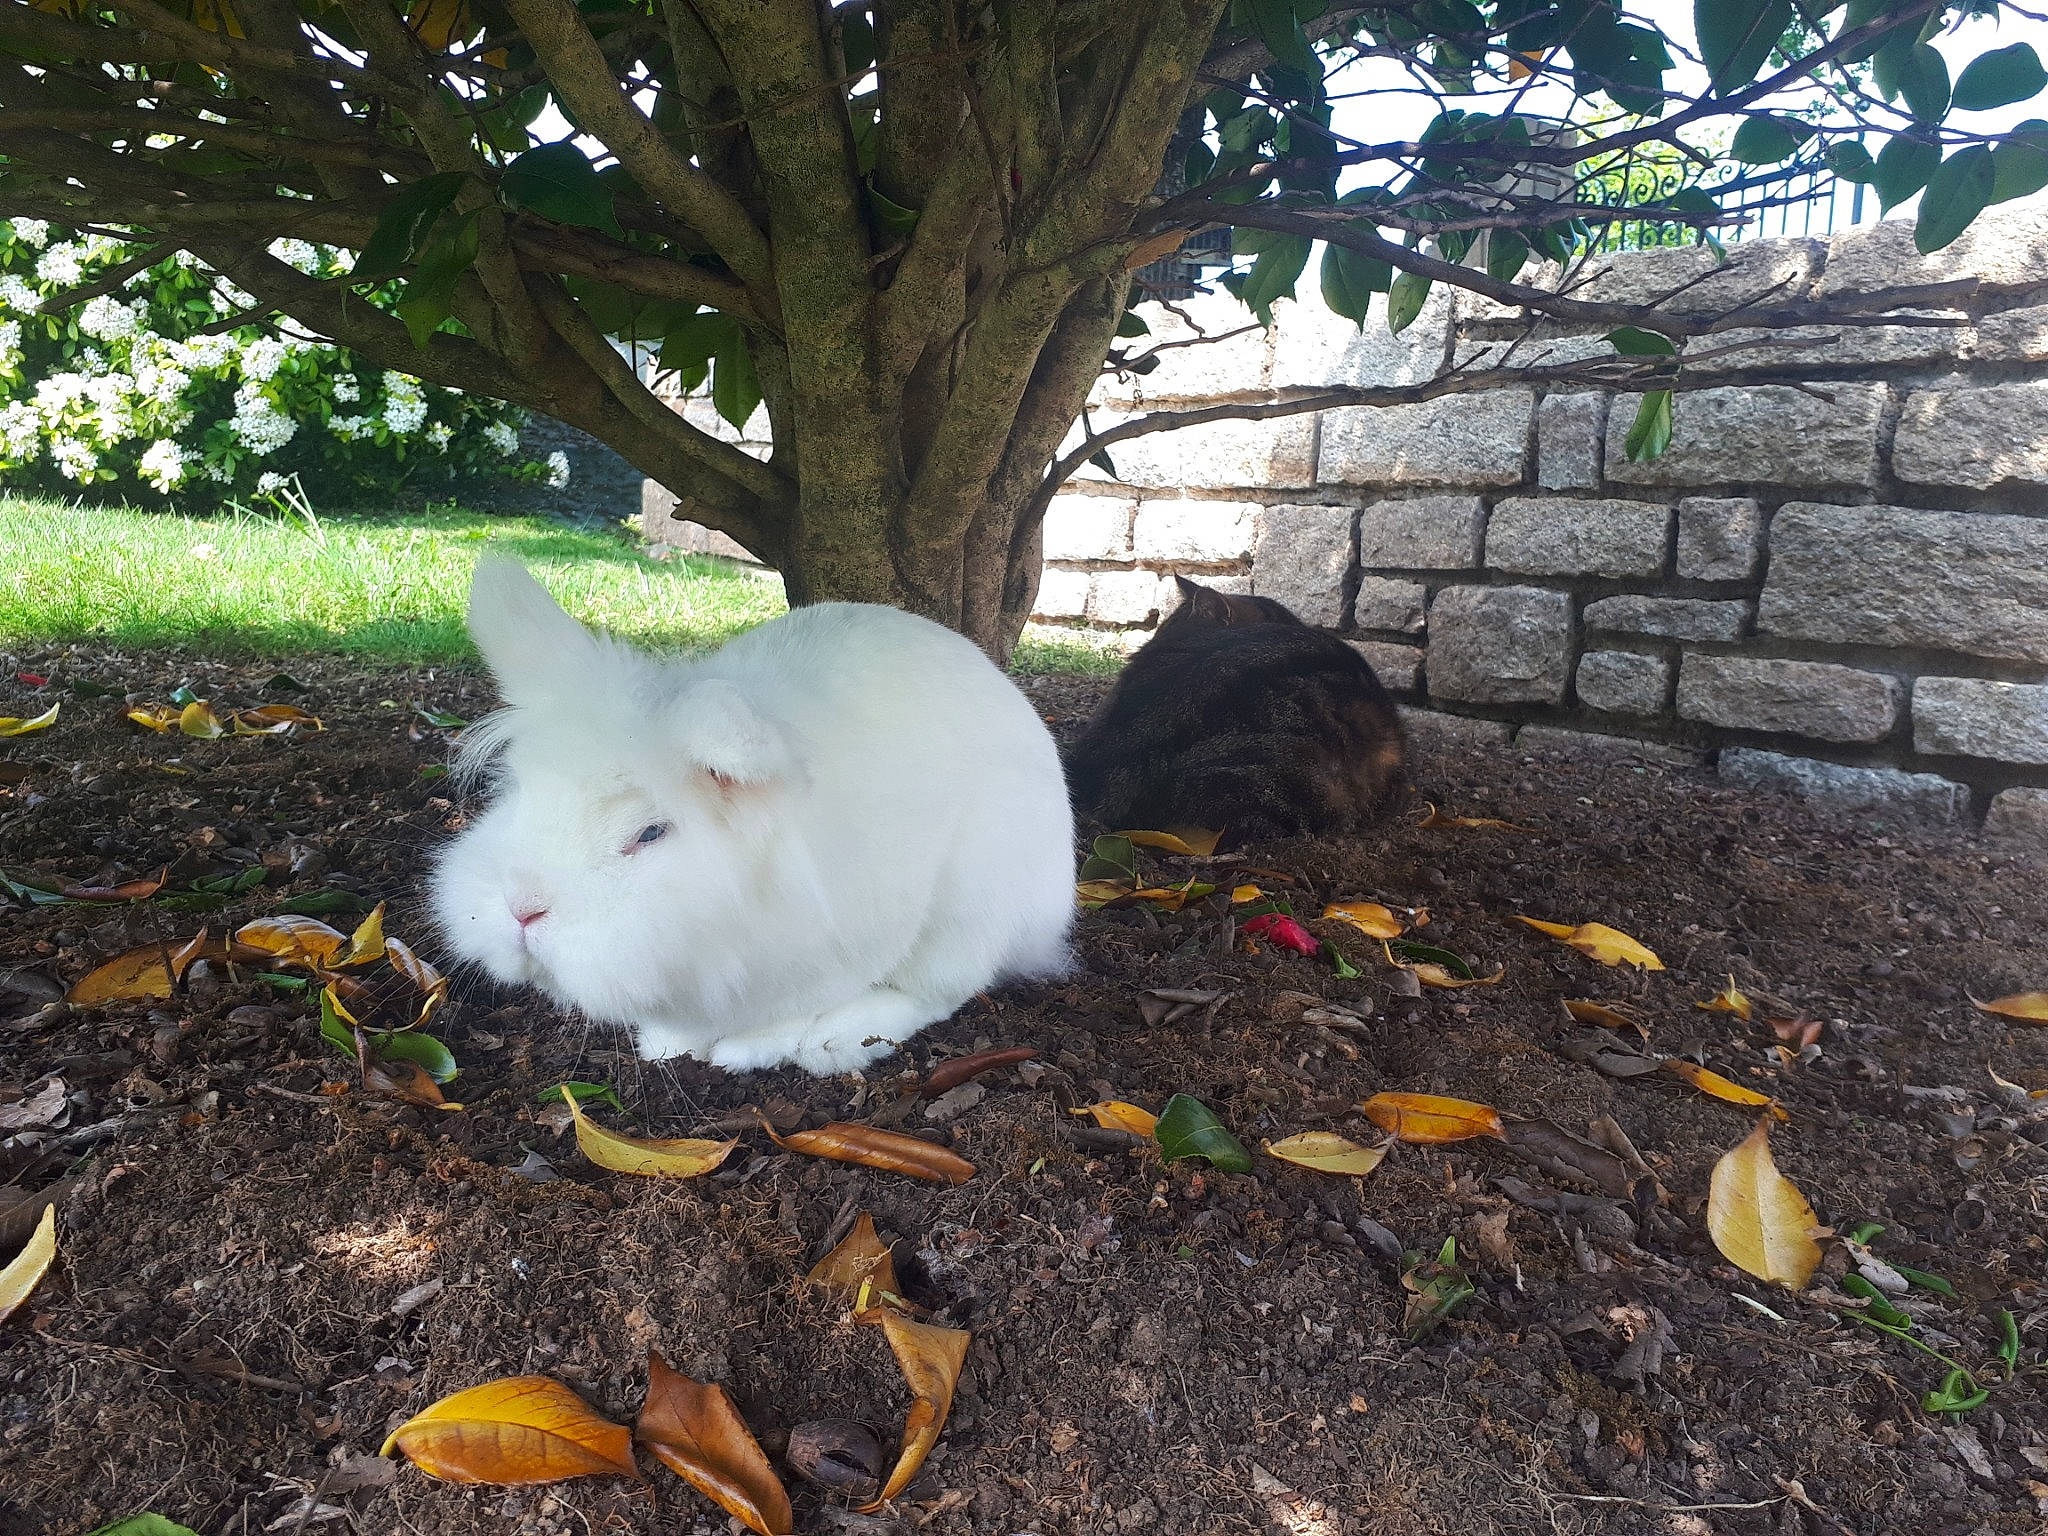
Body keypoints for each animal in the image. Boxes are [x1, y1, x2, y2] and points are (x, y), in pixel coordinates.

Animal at [431, 557, 1075, 1074]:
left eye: (649, 833)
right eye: (520, 792)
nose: (522, 909)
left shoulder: (848, 946)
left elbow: (790, 1012)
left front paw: (747, 1052)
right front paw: (667, 1046)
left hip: (973, 907)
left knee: (935, 993)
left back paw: (837, 1042)